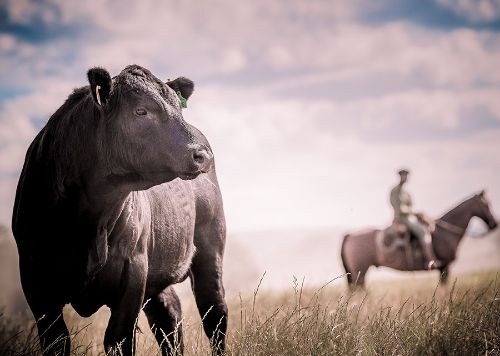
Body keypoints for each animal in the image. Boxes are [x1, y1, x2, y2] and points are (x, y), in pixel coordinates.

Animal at [12, 65, 227, 354]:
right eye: (140, 111)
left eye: (179, 110)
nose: (202, 155)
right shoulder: (35, 278)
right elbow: (57, 340)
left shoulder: (133, 270)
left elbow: (119, 338)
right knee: (169, 315)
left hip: (210, 251)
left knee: (215, 316)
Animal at [340, 191, 496, 288]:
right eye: (487, 204)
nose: (494, 224)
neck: (445, 233)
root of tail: (349, 235)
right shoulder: (445, 267)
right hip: (360, 271)